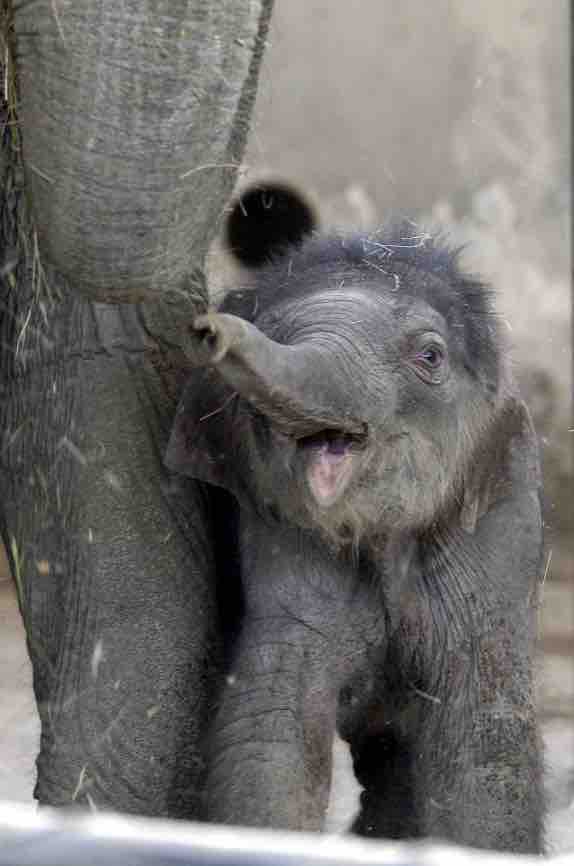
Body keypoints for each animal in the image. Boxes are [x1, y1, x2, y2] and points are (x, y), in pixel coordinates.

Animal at [167, 183, 545, 851]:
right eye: (274, 330)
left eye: (430, 355)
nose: (206, 329)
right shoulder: (279, 531)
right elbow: (276, 725)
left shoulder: (498, 530)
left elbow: (485, 741)